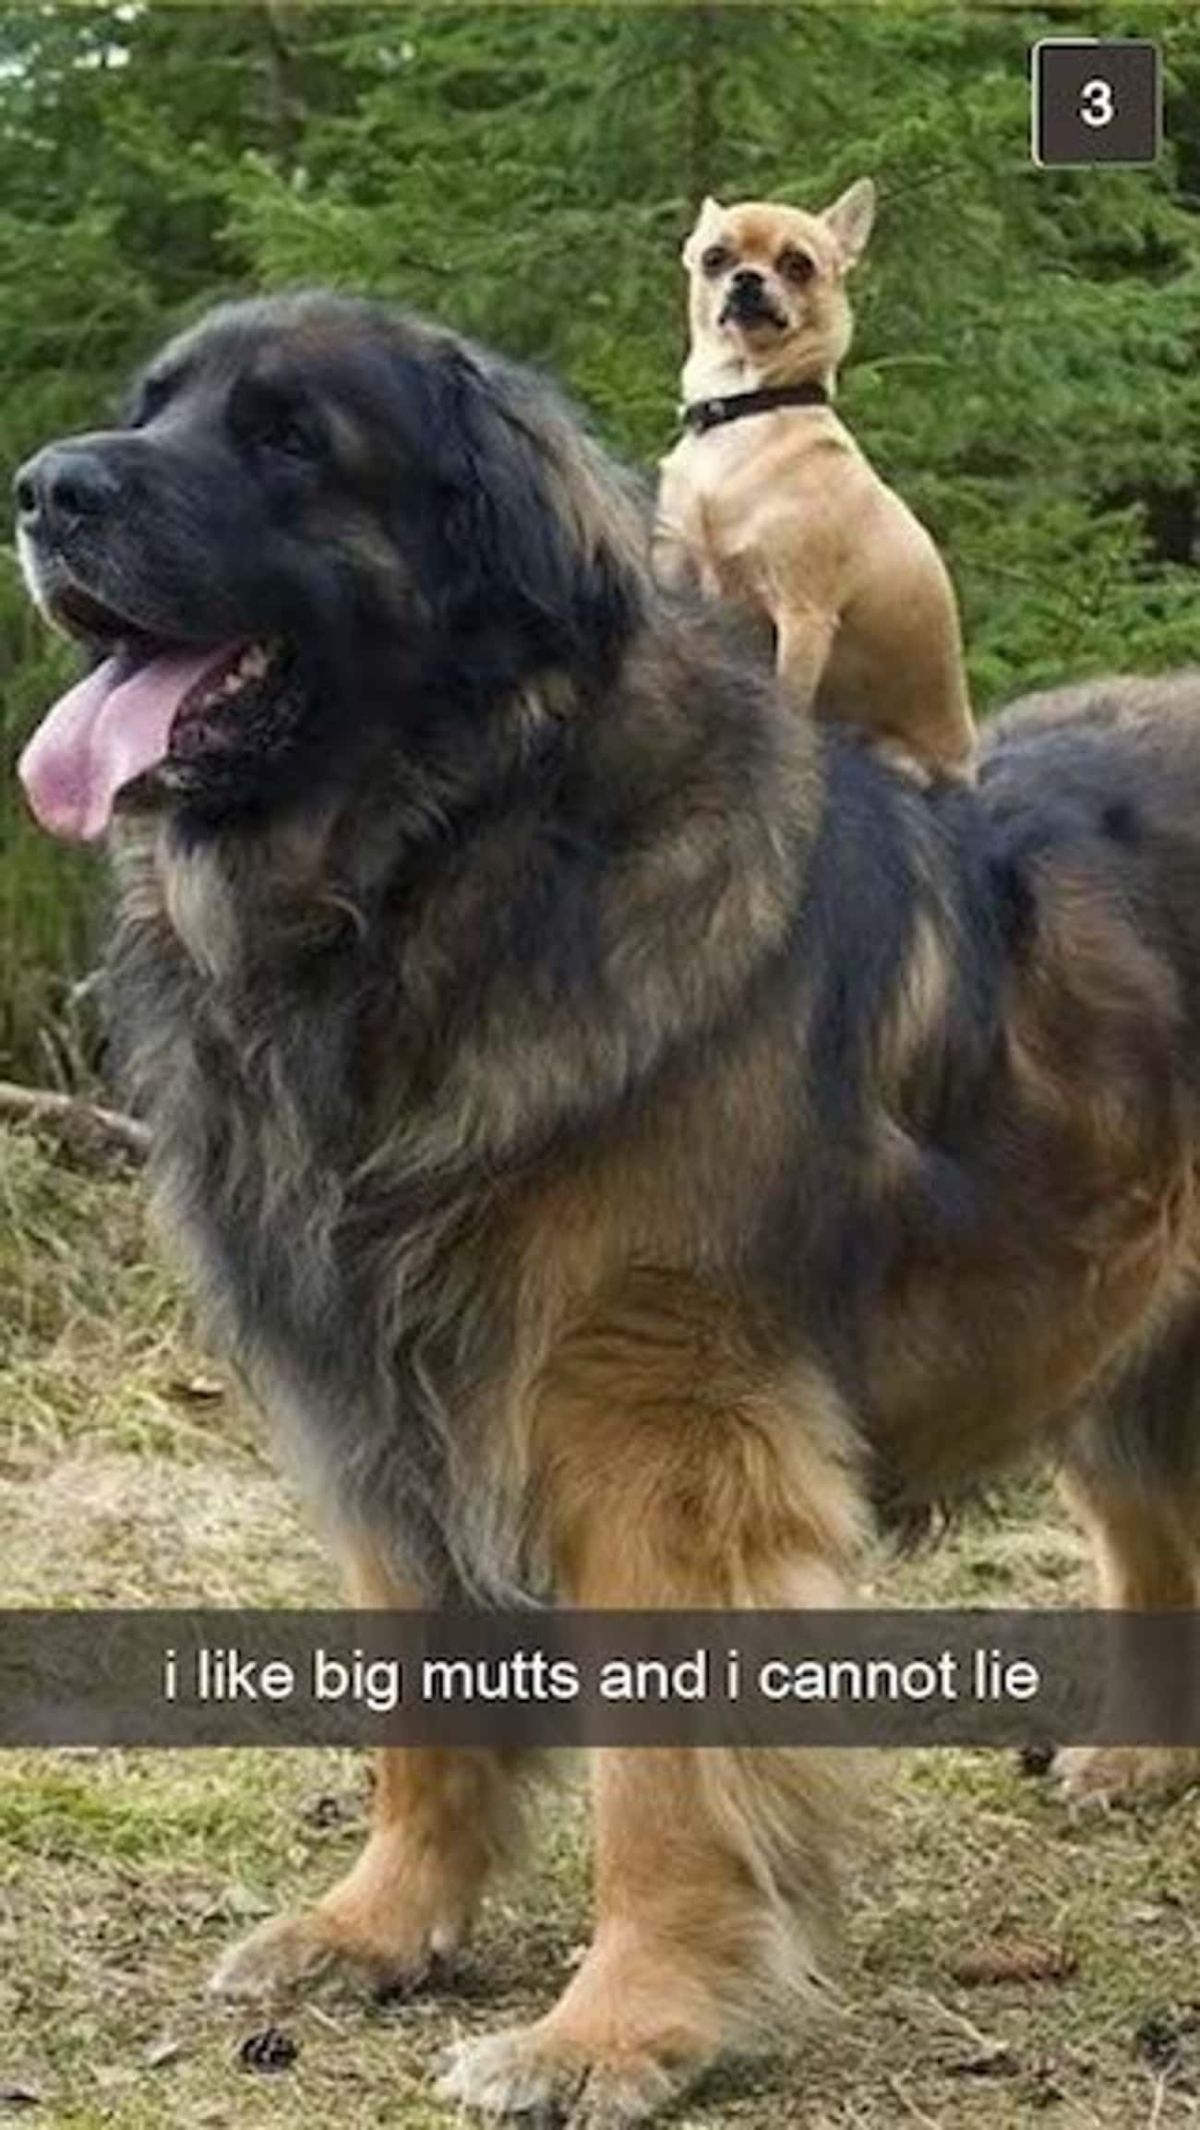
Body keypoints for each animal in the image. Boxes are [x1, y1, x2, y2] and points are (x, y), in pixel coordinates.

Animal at [14, 296, 1200, 2112]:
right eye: (147, 408)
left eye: (289, 440)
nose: (44, 489)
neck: (439, 879)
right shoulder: (387, 1405)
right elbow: (421, 1714)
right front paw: (379, 1927)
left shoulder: (658, 1431)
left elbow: (665, 1776)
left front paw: (619, 2025)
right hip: (1099, 1318)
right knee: (1158, 1537)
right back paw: (1141, 1759)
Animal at [656, 183, 976, 779]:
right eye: (715, 258)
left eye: (797, 265)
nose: (747, 278)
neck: (746, 408)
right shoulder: (676, 570)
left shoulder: (802, 614)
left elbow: (790, 699)